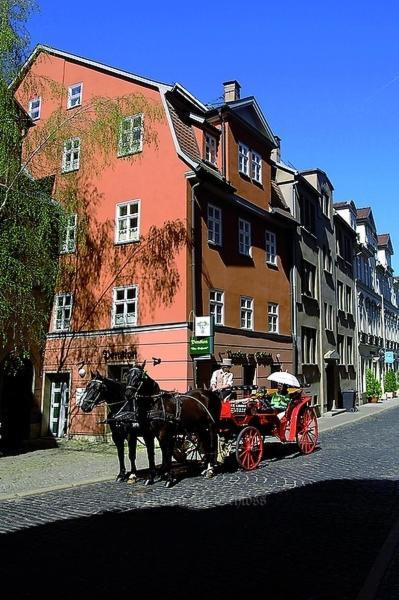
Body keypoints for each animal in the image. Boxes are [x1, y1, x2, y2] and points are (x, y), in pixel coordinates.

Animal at [125, 360, 222, 488]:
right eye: (127, 376)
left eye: (139, 377)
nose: (128, 394)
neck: (155, 405)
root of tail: (210, 394)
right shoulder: (148, 434)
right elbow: (151, 454)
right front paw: (151, 477)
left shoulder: (164, 434)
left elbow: (167, 454)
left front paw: (169, 478)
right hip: (199, 428)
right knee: (205, 444)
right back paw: (205, 467)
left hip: (211, 426)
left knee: (211, 444)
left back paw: (210, 469)